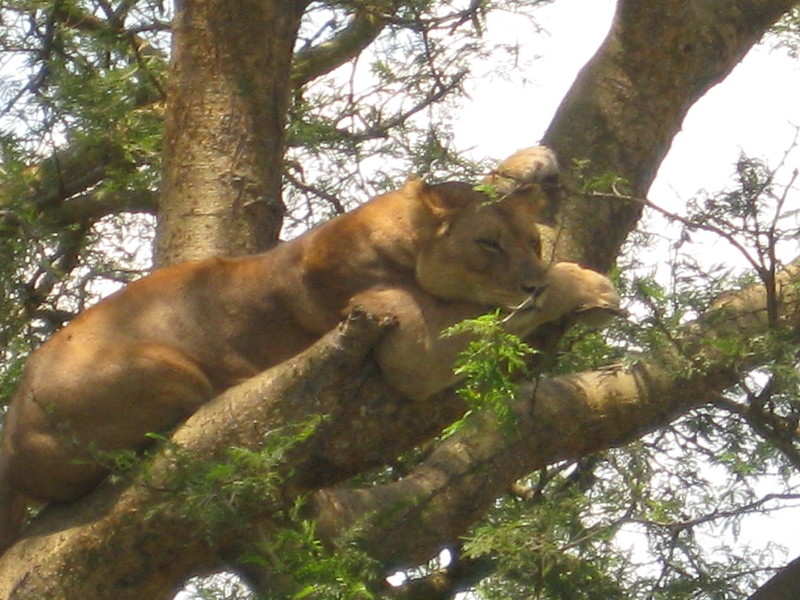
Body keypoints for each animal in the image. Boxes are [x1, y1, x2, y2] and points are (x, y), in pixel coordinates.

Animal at [0, 145, 620, 552]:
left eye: (531, 241)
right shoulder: (410, 347)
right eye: (487, 244)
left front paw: (535, 162)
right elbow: (500, 315)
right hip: (165, 368)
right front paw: (584, 285)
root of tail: (9, 445)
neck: (389, 232)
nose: (529, 281)